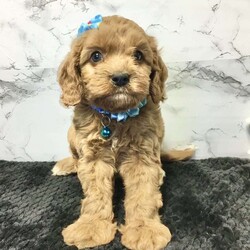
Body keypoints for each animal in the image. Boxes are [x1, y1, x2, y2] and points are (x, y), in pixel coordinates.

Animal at [52, 14, 193, 249]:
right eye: (96, 56)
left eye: (138, 55)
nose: (120, 77)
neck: (116, 115)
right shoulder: (94, 158)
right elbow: (95, 195)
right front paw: (90, 227)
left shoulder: (143, 155)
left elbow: (144, 193)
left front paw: (145, 230)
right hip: (72, 136)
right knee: (75, 158)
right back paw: (67, 165)